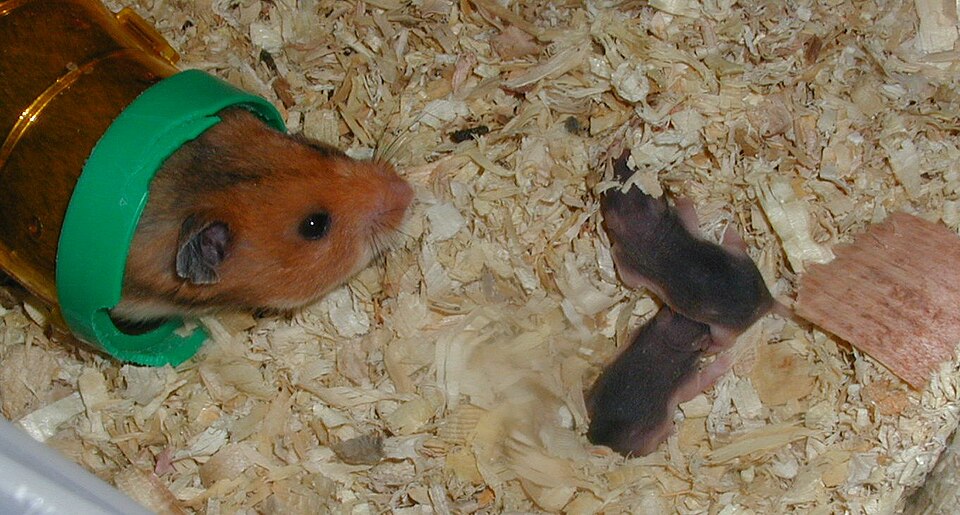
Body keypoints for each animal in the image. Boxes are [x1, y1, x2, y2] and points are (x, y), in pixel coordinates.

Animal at [586, 307, 731, 456]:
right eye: (707, 335)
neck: (671, 343)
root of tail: (600, 436)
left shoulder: (635, 336)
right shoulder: (689, 380)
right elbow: (701, 382)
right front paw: (726, 360)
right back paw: (671, 430)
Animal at [600, 151, 775, 347]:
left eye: (608, 192)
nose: (623, 152)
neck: (653, 232)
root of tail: (767, 300)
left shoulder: (630, 263)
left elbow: (628, 278)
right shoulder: (681, 221)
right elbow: (689, 210)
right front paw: (680, 197)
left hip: (722, 330)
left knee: (725, 342)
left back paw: (711, 348)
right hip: (739, 255)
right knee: (740, 245)